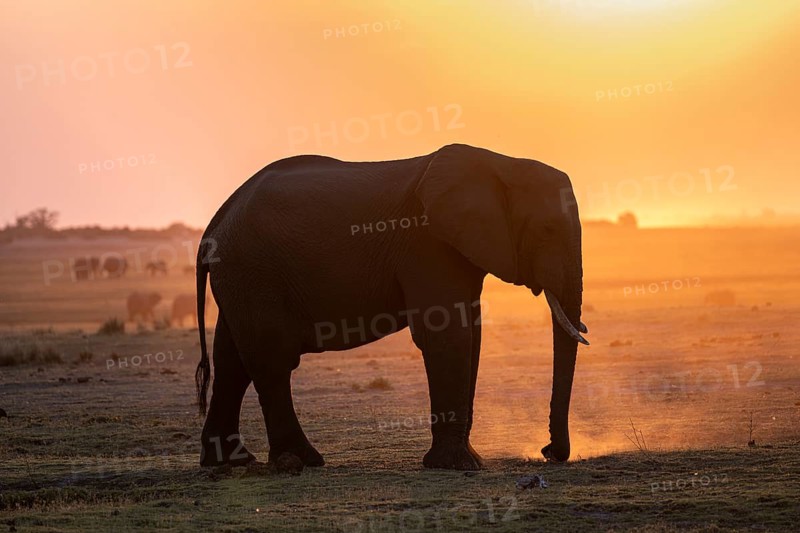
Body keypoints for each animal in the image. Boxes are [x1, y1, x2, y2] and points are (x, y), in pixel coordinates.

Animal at [194, 143, 589, 470]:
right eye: (548, 229)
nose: (548, 452)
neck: (502, 163)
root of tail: (217, 219)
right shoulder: (428, 243)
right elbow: (447, 334)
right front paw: (459, 466)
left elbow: (471, 337)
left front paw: (467, 461)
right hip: (254, 272)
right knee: (272, 361)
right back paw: (300, 461)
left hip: (241, 278)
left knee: (232, 361)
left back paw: (230, 463)